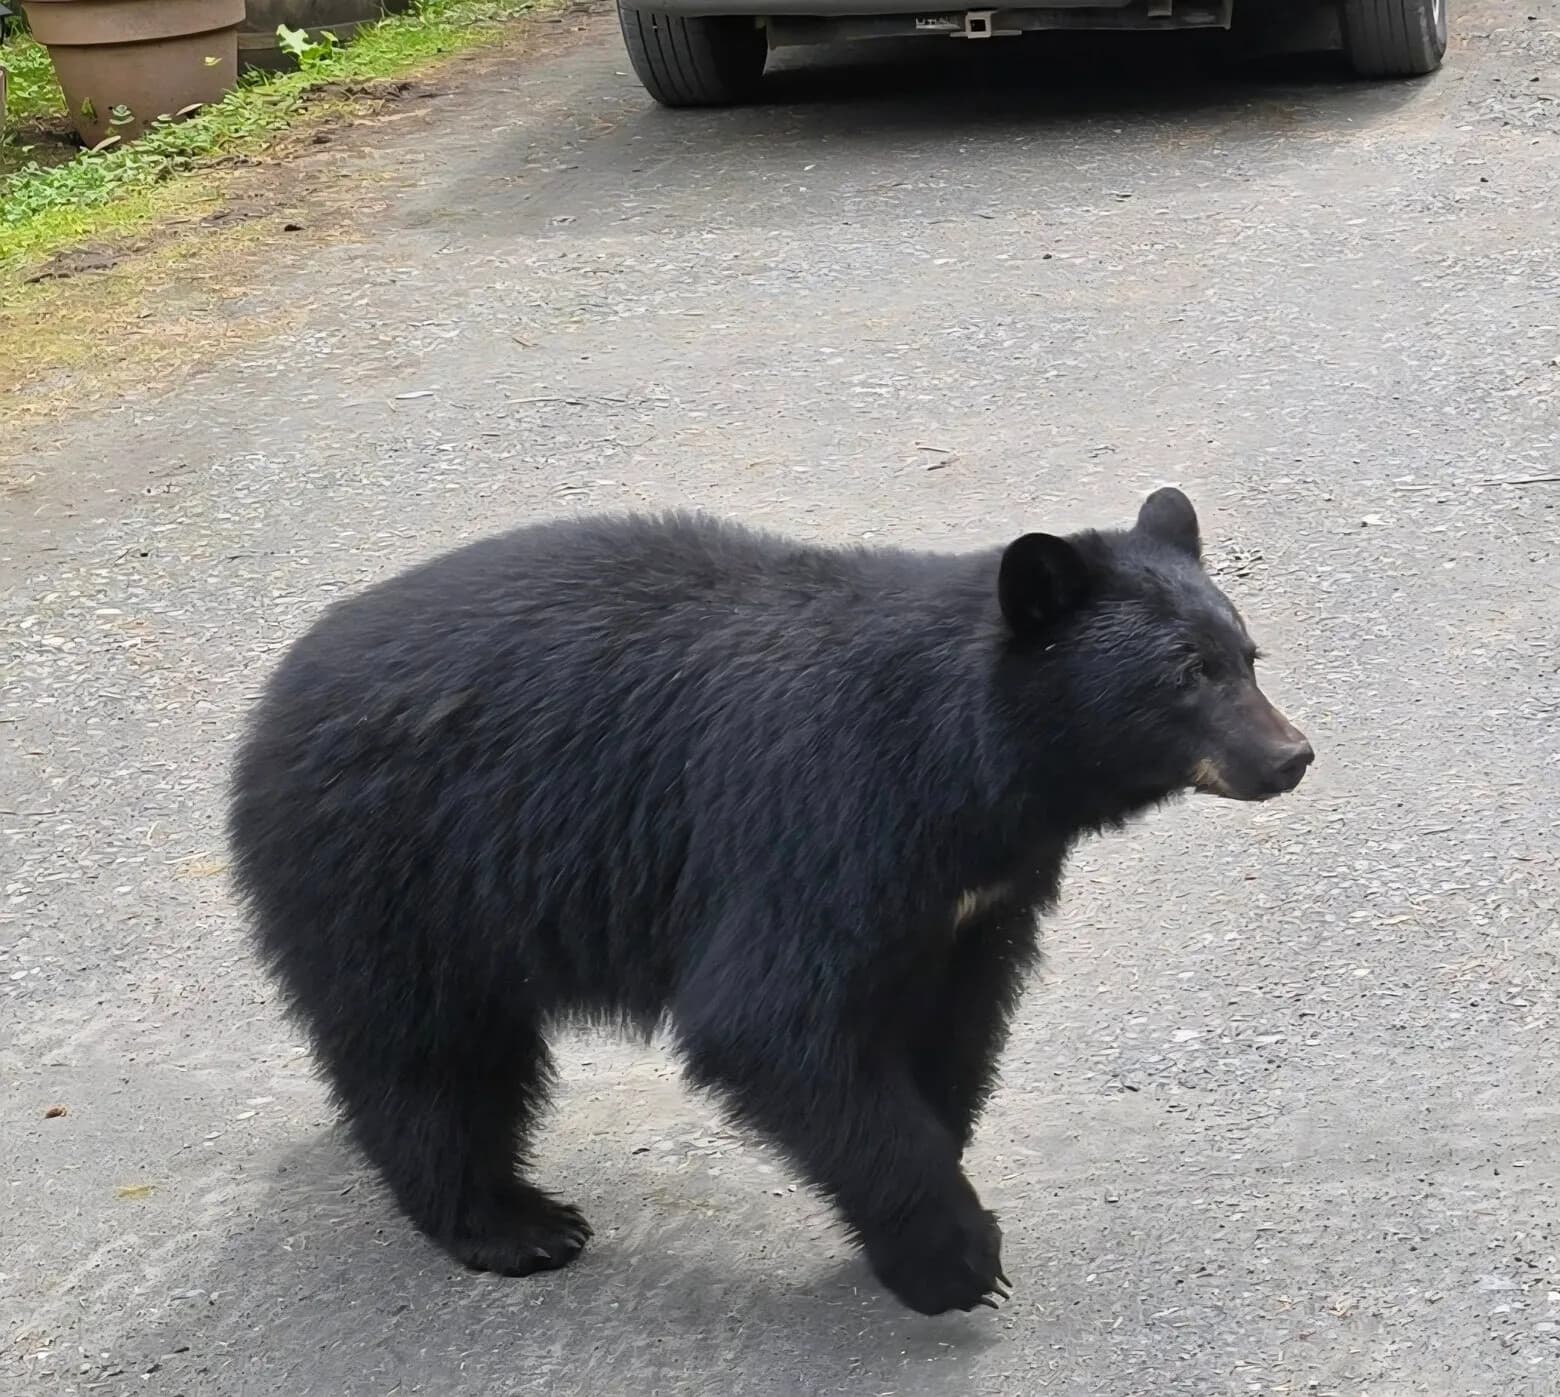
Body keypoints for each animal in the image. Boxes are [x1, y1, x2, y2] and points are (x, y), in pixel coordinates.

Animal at [227, 488, 1312, 1317]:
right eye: (1187, 673)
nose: (1292, 755)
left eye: (1248, 654)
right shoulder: (820, 823)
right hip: (407, 869)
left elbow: (952, 1025)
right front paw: (953, 1257)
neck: (974, 776)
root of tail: (272, 698)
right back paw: (513, 1223)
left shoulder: (969, 902)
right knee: (433, 1057)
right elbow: (774, 1023)